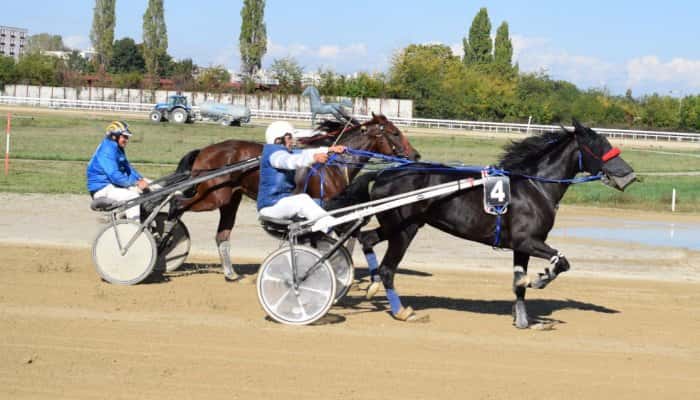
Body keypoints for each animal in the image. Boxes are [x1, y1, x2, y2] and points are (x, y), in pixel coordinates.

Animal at [170, 113, 422, 278]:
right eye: (394, 133)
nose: (416, 155)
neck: (332, 165)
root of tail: (204, 151)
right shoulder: (327, 205)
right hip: (214, 196)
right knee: (177, 203)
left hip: (231, 199)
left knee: (222, 235)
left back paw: (231, 273)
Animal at [342, 119, 636, 328]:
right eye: (598, 146)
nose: (629, 175)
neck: (535, 186)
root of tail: (383, 173)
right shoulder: (528, 240)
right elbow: (561, 262)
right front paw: (540, 279)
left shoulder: (521, 246)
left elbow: (519, 282)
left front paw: (523, 320)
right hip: (404, 229)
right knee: (388, 268)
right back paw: (402, 311)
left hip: (397, 226)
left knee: (367, 239)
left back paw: (372, 286)